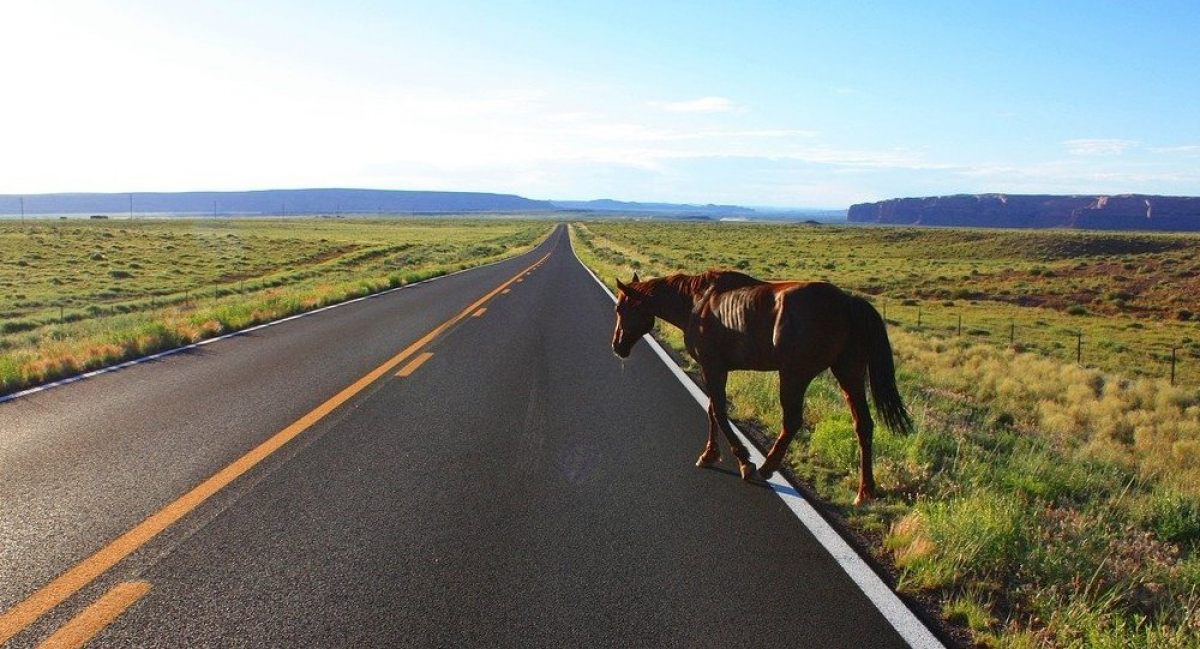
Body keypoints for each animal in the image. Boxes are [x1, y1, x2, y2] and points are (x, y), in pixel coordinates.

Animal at [614, 271, 912, 503]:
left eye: (621, 309)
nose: (617, 346)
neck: (696, 302)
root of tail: (848, 302)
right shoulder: (716, 369)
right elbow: (712, 410)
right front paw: (710, 454)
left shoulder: (713, 367)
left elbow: (719, 412)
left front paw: (744, 460)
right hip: (848, 372)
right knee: (863, 423)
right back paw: (865, 492)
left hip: (794, 375)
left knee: (792, 421)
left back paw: (767, 466)